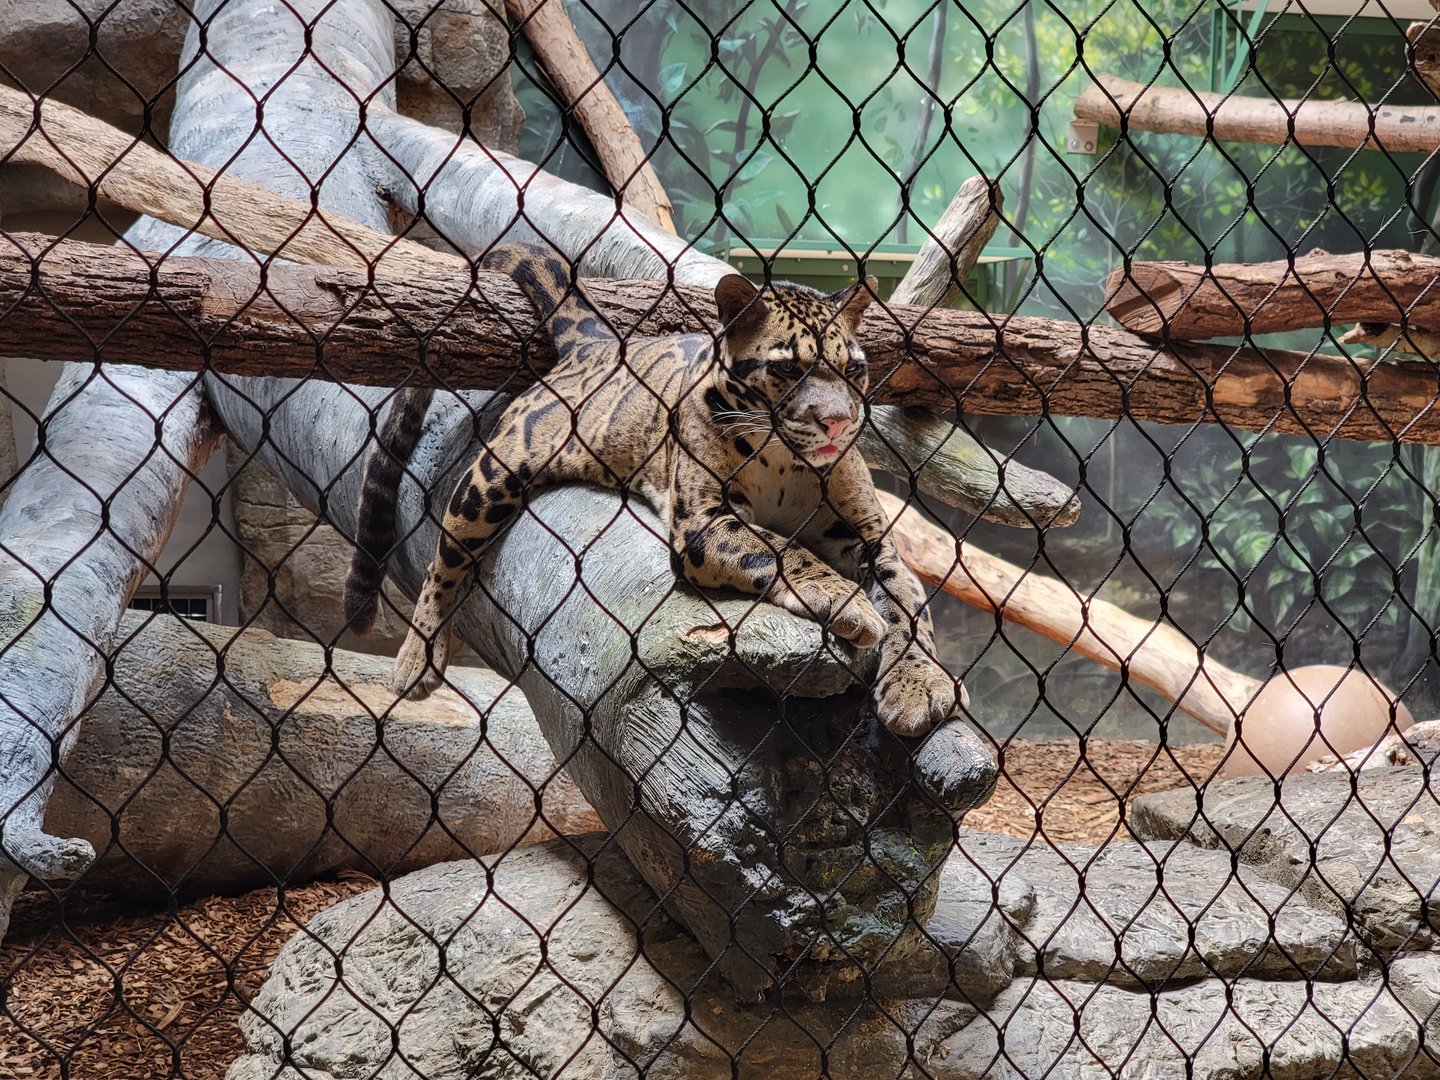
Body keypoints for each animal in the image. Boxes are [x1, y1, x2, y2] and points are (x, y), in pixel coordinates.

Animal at [344, 243, 965, 737]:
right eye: (789, 371)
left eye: (853, 370)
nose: (838, 423)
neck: (788, 465)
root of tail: (593, 343)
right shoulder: (705, 524)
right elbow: (783, 550)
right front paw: (848, 601)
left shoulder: (869, 536)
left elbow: (910, 599)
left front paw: (919, 686)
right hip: (493, 474)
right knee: (443, 561)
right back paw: (416, 661)